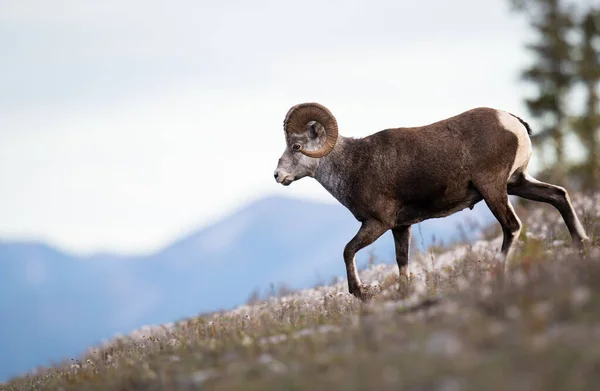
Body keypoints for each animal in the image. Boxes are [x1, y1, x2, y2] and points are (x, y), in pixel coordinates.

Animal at [274, 103, 592, 300]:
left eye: (297, 146)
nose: (278, 175)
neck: (353, 166)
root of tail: (513, 122)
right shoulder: (400, 227)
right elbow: (402, 263)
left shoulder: (377, 224)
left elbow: (347, 251)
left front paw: (361, 293)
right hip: (518, 183)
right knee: (558, 196)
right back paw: (582, 247)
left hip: (494, 190)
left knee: (512, 227)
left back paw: (498, 274)